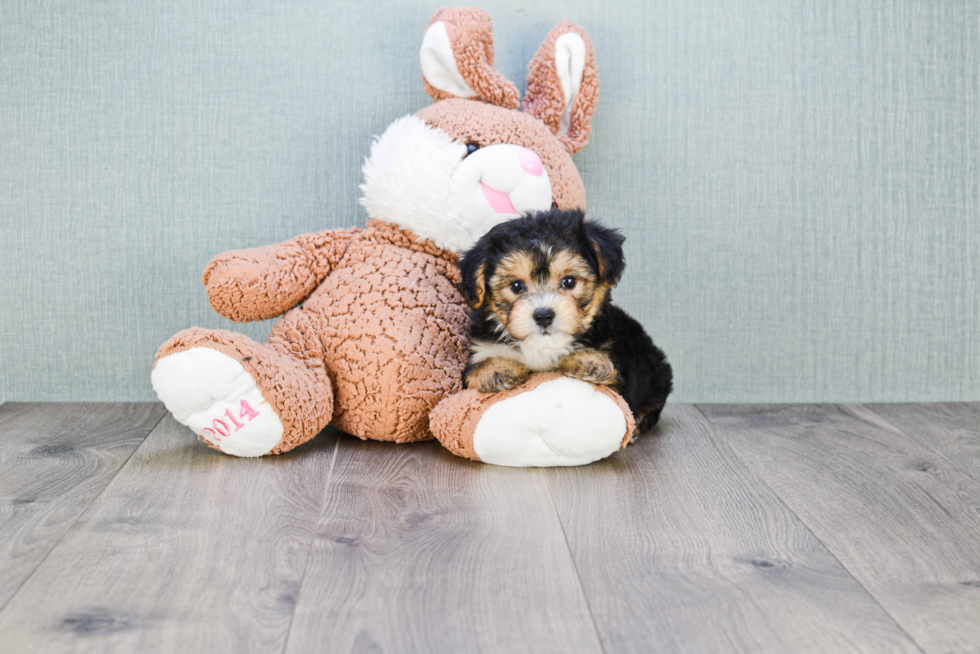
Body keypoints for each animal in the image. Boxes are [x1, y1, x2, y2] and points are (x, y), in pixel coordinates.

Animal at [460, 209, 672, 436]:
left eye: (569, 281)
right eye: (516, 286)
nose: (543, 315)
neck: (544, 346)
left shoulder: (616, 371)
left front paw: (588, 359)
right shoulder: (480, 350)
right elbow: (480, 366)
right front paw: (497, 368)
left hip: (655, 371)